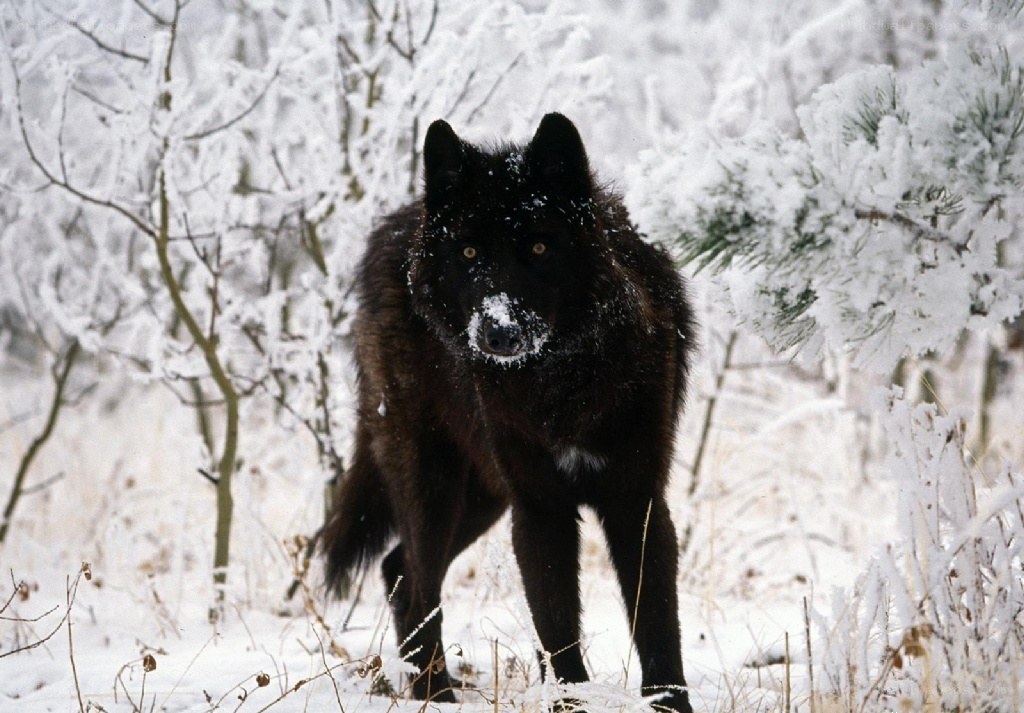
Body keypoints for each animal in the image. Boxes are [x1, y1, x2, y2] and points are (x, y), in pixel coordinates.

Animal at [321, 113, 696, 713]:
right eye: (470, 254)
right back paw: (436, 695)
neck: (561, 385)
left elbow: (658, 629)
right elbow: (558, 635)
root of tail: (397, 224)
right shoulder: (539, 510)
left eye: (540, 247)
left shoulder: (636, 502)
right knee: (418, 582)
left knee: (398, 569)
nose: (498, 332)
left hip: (483, 497)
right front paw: (569, 703)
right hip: (435, 486)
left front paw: (669, 705)